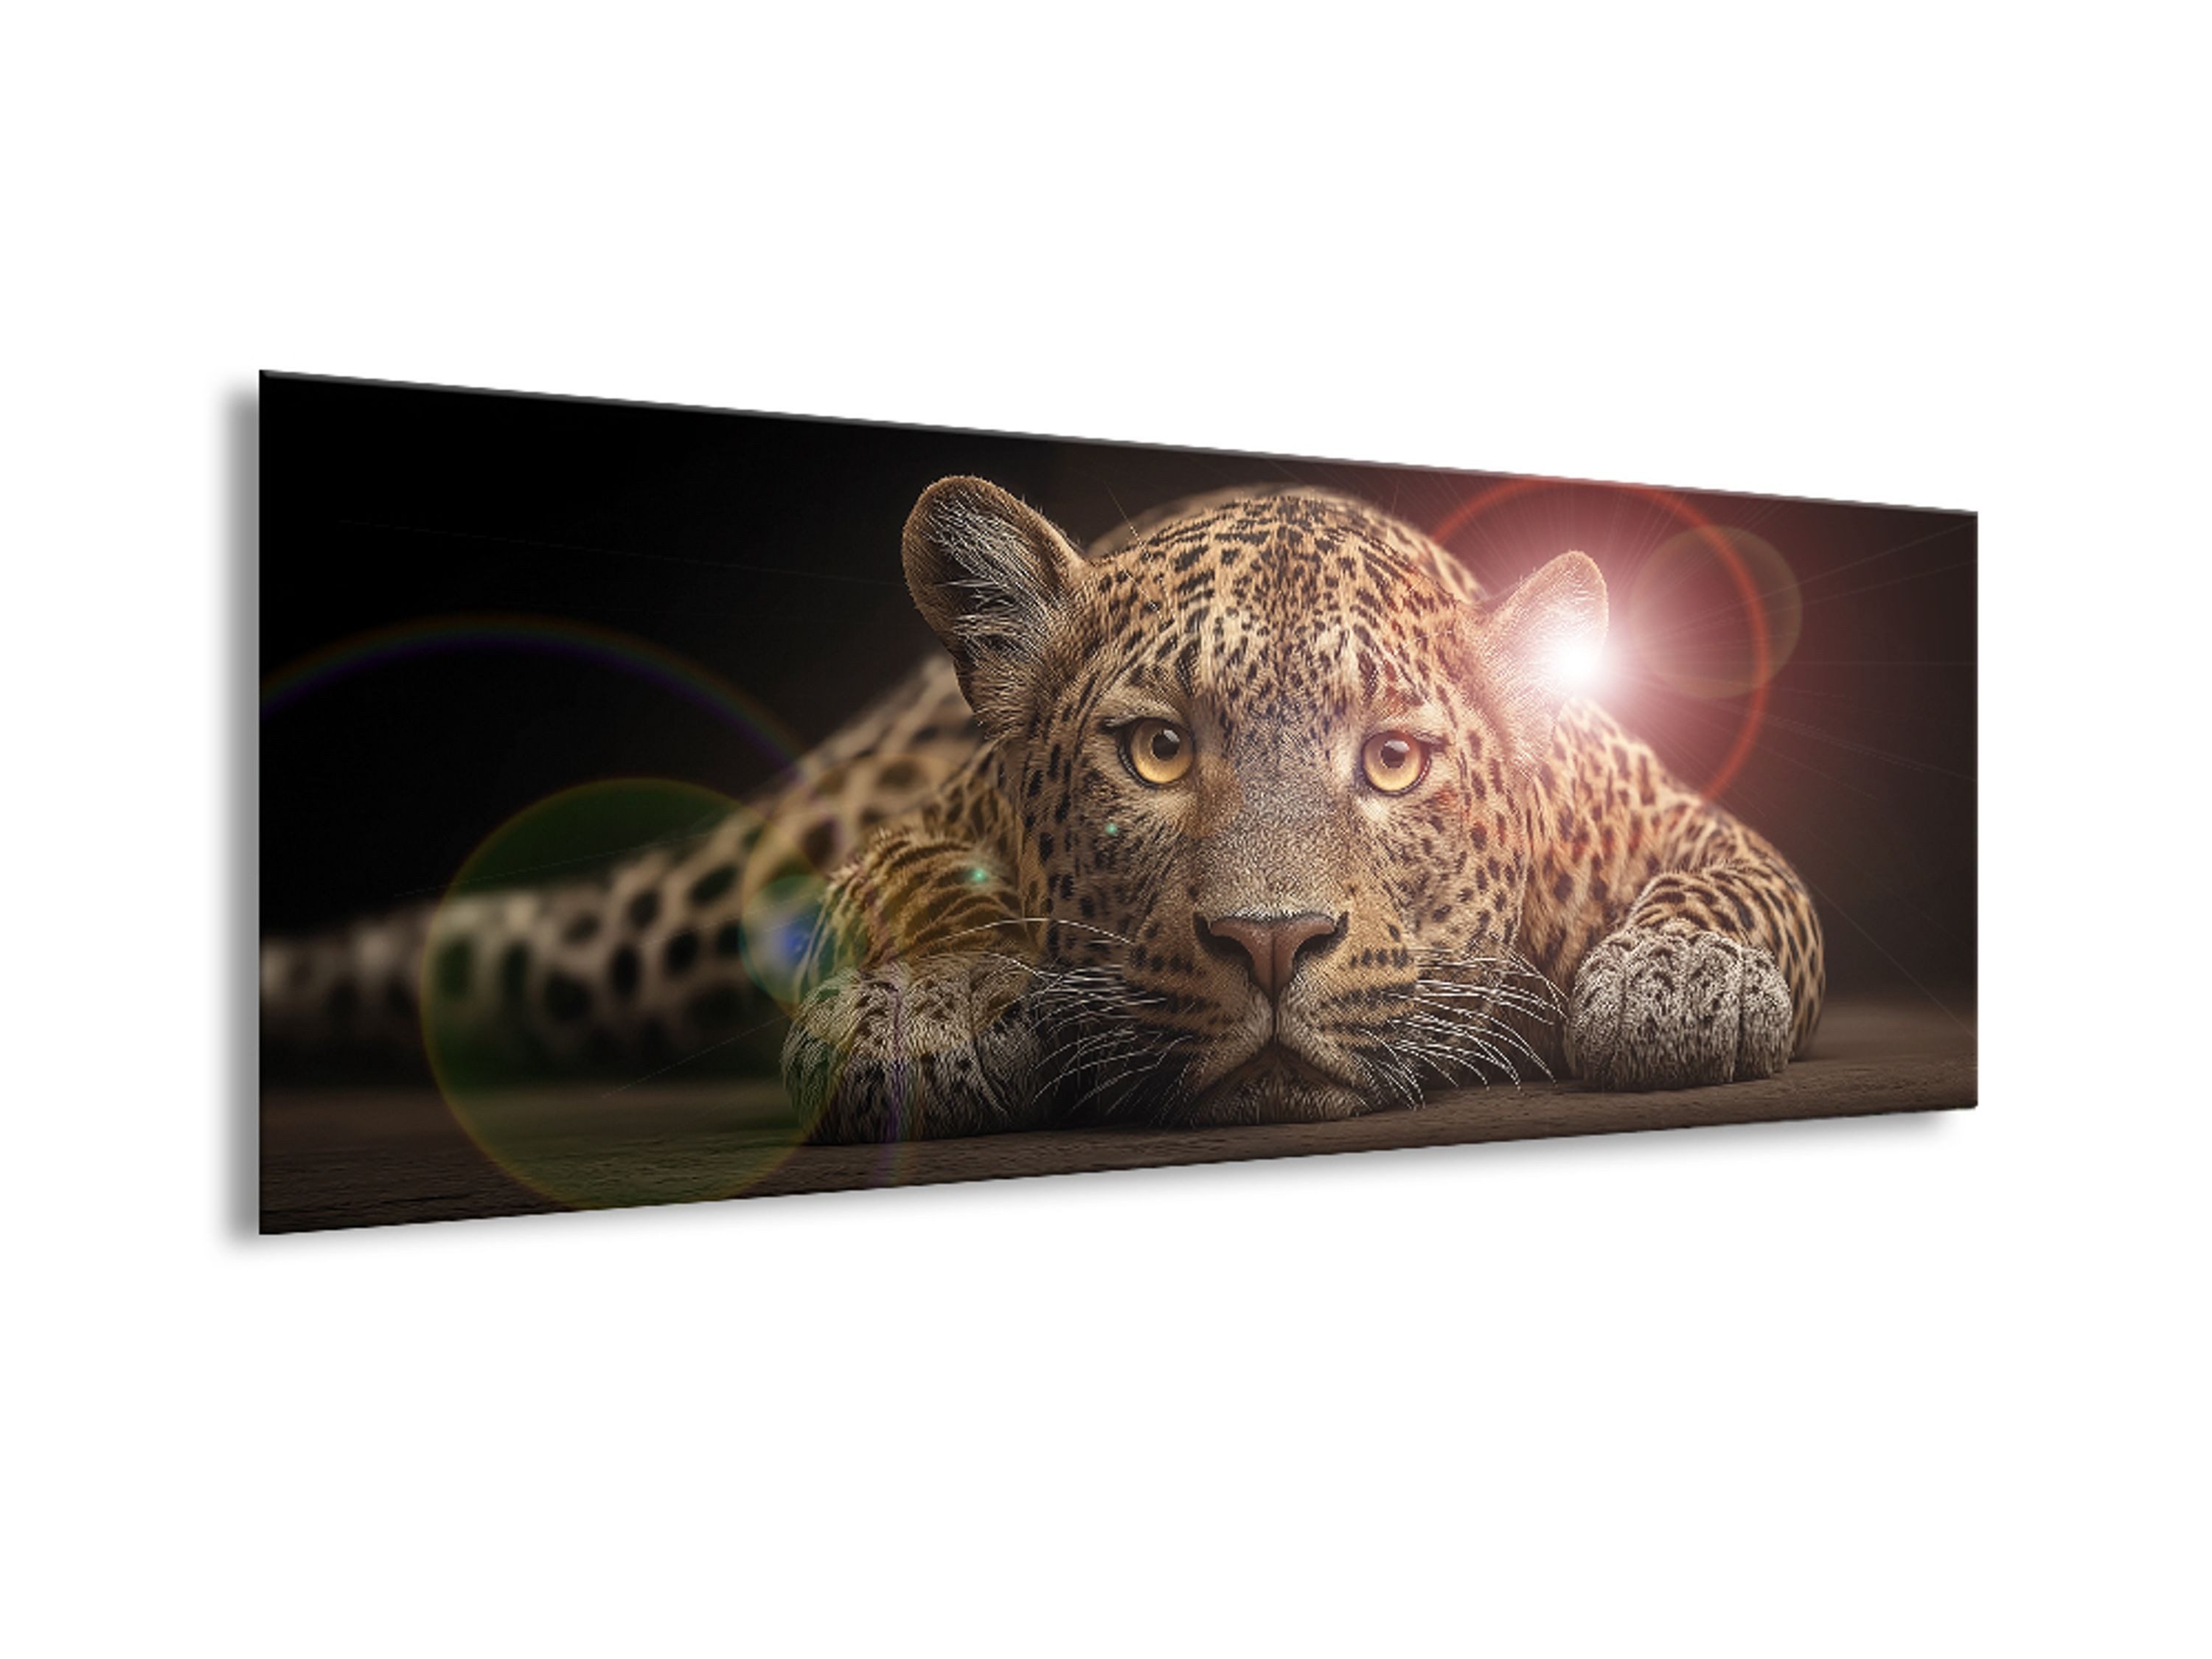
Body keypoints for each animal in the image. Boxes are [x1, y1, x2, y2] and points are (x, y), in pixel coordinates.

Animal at [261, 477, 1825, 1141]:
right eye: (1157, 753)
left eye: (1393, 763)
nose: (1270, 945)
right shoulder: (917, 828)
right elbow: (915, 893)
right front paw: (929, 1021)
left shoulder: (1667, 812)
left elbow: (1741, 882)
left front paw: (1681, 984)